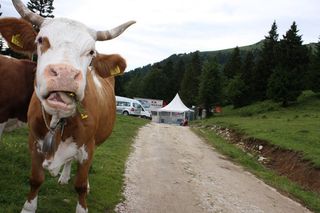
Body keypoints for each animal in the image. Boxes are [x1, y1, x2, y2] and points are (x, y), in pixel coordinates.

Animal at [10, 0, 135, 212]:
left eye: (91, 52)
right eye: (40, 40)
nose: (65, 74)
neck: (58, 120)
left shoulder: (88, 147)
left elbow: (81, 185)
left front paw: (82, 203)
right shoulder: (33, 141)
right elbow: (35, 179)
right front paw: (28, 207)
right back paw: (63, 175)